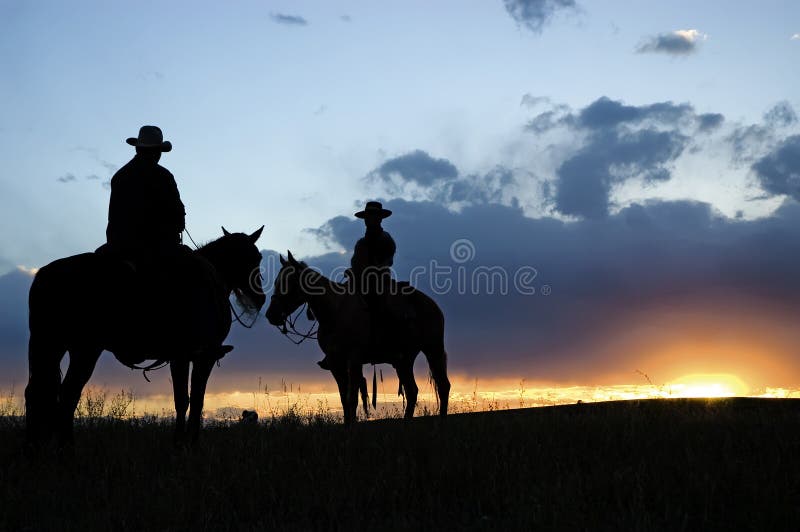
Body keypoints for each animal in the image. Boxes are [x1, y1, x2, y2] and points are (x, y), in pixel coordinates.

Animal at [25, 227, 266, 446]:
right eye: (255, 258)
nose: (260, 298)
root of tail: (45, 274)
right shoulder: (198, 356)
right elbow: (191, 400)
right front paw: (187, 443)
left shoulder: (182, 357)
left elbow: (188, 399)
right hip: (85, 349)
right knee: (67, 395)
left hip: (50, 345)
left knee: (39, 393)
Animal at [268, 252, 450, 424]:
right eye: (276, 281)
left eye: (289, 281)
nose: (271, 315)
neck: (334, 312)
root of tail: (433, 305)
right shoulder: (336, 364)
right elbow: (344, 399)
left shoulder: (354, 360)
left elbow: (352, 399)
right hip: (404, 360)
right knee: (412, 391)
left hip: (433, 349)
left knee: (443, 386)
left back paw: (441, 422)